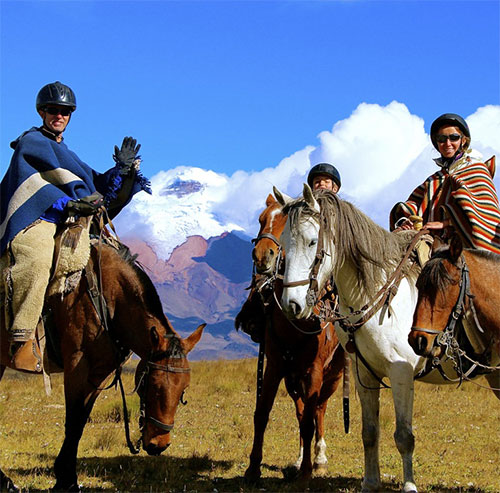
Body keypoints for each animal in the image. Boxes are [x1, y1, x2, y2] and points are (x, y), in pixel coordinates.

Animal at [0, 237, 204, 488]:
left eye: (183, 389)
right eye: (153, 386)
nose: (159, 444)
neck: (108, 300)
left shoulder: (100, 374)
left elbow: (81, 421)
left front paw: (66, 476)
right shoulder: (77, 367)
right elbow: (73, 422)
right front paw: (65, 481)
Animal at [235, 192, 348, 480]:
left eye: (286, 224)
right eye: (261, 219)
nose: (263, 256)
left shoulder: (315, 370)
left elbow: (310, 419)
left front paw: (308, 471)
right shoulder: (275, 366)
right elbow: (262, 413)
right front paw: (253, 468)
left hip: (332, 375)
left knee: (319, 410)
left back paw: (318, 458)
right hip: (293, 377)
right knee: (301, 411)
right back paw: (299, 459)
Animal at [274, 184, 472, 492]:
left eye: (311, 242)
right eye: (284, 241)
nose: (291, 305)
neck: (377, 294)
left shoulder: (401, 373)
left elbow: (404, 436)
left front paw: (409, 486)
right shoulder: (363, 374)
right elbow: (369, 432)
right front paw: (370, 482)